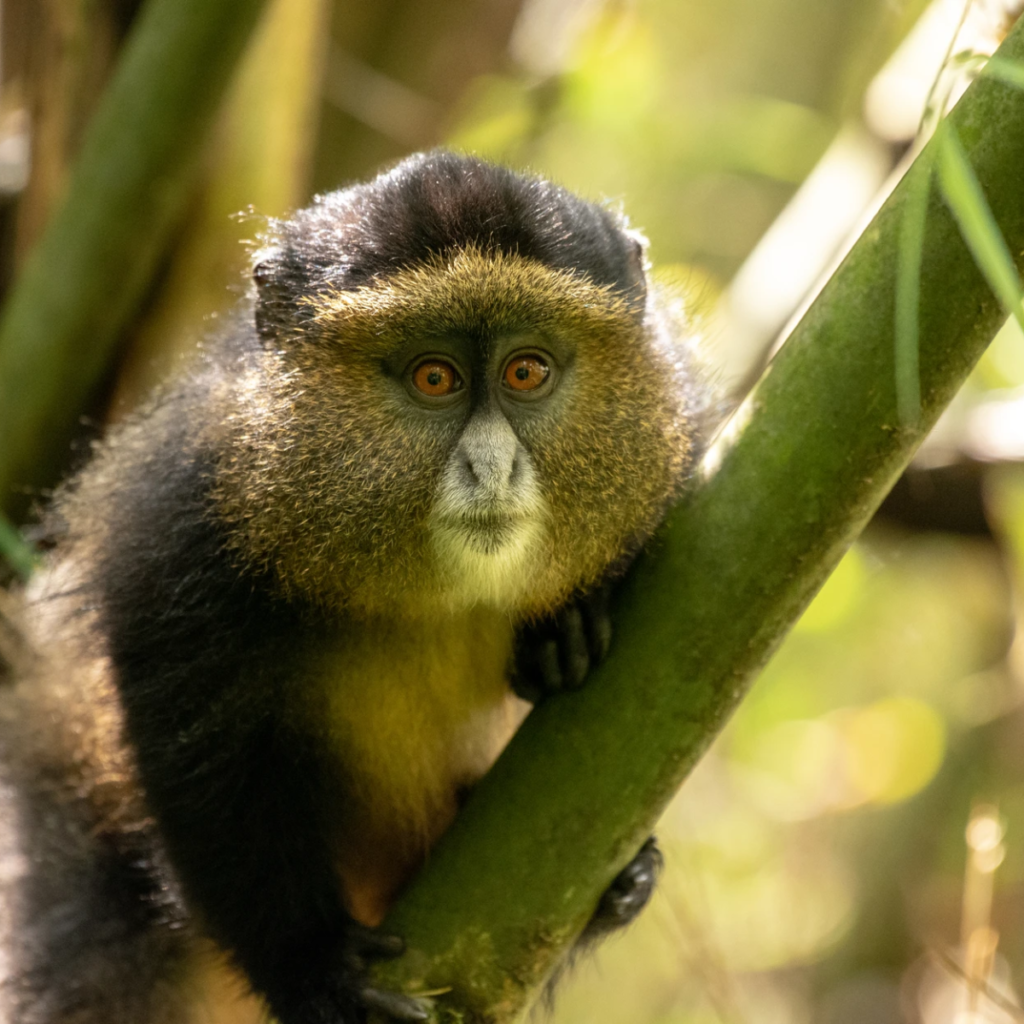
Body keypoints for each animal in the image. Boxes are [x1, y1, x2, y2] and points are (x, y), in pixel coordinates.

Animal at [0, 151, 711, 1024]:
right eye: (435, 378)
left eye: (526, 371)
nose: (491, 467)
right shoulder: (184, 524)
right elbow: (198, 752)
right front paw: (310, 967)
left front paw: (570, 620)